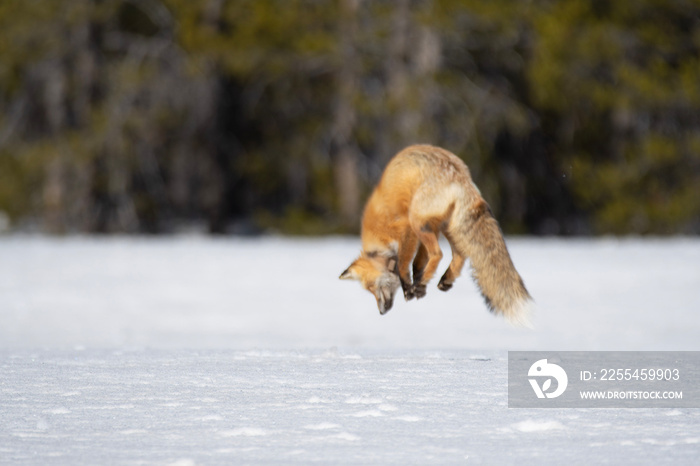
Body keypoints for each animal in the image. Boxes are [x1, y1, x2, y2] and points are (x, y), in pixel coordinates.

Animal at [340, 144, 532, 326]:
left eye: (373, 287)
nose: (381, 312)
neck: (379, 232)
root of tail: (462, 177)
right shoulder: (429, 229)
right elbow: (418, 262)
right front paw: (419, 283)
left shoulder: (407, 228)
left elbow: (403, 264)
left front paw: (409, 288)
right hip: (446, 226)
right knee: (460, 254)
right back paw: (444, 280)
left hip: (418, 220)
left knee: (438, 253)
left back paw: (425, 282)